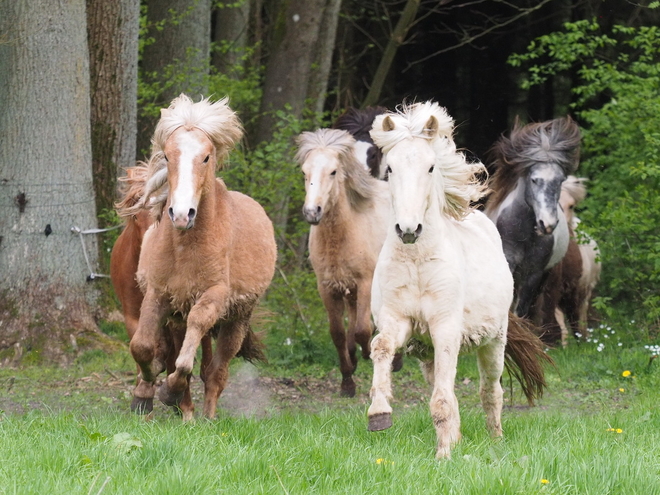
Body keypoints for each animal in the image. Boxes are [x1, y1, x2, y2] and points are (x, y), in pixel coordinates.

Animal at [116, 95, 276, 420]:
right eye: (166, 156)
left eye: (206, 157)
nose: (181, 214)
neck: (186, 248)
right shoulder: (157, 294)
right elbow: (143, 347)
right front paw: (148, 389)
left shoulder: (213, 297)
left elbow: (185, 363)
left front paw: (168, 391)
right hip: (179, 314)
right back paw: (186, 410)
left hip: (236, 320)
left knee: (216, 372)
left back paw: (206, 416)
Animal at [296, 129, 390, 400]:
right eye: (304, 173)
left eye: (333, 171)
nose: (312, 212)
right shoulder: (328, 287)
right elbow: (338, 333)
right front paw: (347, 381)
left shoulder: (366, 282)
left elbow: (363, 330)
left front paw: (367, 353)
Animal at [368, 101, 548, 462]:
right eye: (390, 169)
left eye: (430, 167)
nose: (408, 229)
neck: (417, 263)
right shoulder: (397, 321)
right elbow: (380, 347)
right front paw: (379, 413)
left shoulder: (446, 330)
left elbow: (443, 398)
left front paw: (444, 455)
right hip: (425, 352)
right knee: (444, 386)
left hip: (494, 341)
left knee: (490, 390)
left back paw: (496, 440)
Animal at [482, 115, 580, 322]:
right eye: (534, 179)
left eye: (560, 180)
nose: (547, 224)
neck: (523, 234)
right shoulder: (508, 263)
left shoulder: (533, 275)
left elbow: (521, 310)